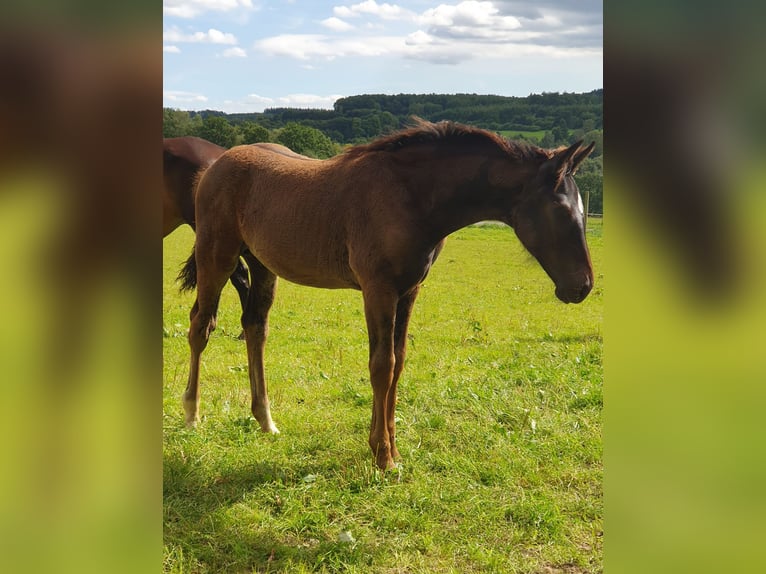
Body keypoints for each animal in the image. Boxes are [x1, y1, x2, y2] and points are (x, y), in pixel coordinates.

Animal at [178, 119, 592, 470]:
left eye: (585, 210)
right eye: (560, 208)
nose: (583, 286)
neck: (411, 197)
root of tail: (214, 167)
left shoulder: (408, 291)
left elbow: (399, 361)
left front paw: (391, 447)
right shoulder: (378, 289)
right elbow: (382, 365)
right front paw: (382, 455)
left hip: (262, 266)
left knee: (254, 328)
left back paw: (265, 419)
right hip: (217, 256)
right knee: (200, 326)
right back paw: (192, 414)